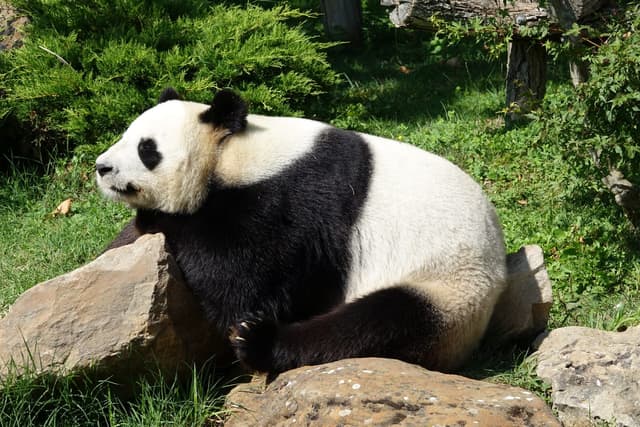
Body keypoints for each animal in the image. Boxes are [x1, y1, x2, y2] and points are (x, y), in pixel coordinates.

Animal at [96, 88, 507, 374]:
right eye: (125, 135)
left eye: (147, 149)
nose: (102, 167)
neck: (236, 154)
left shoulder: (294, 201)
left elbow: (244, 281)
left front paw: (160, 219)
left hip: (449, 287)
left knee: (375, 325)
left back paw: (259, 342)